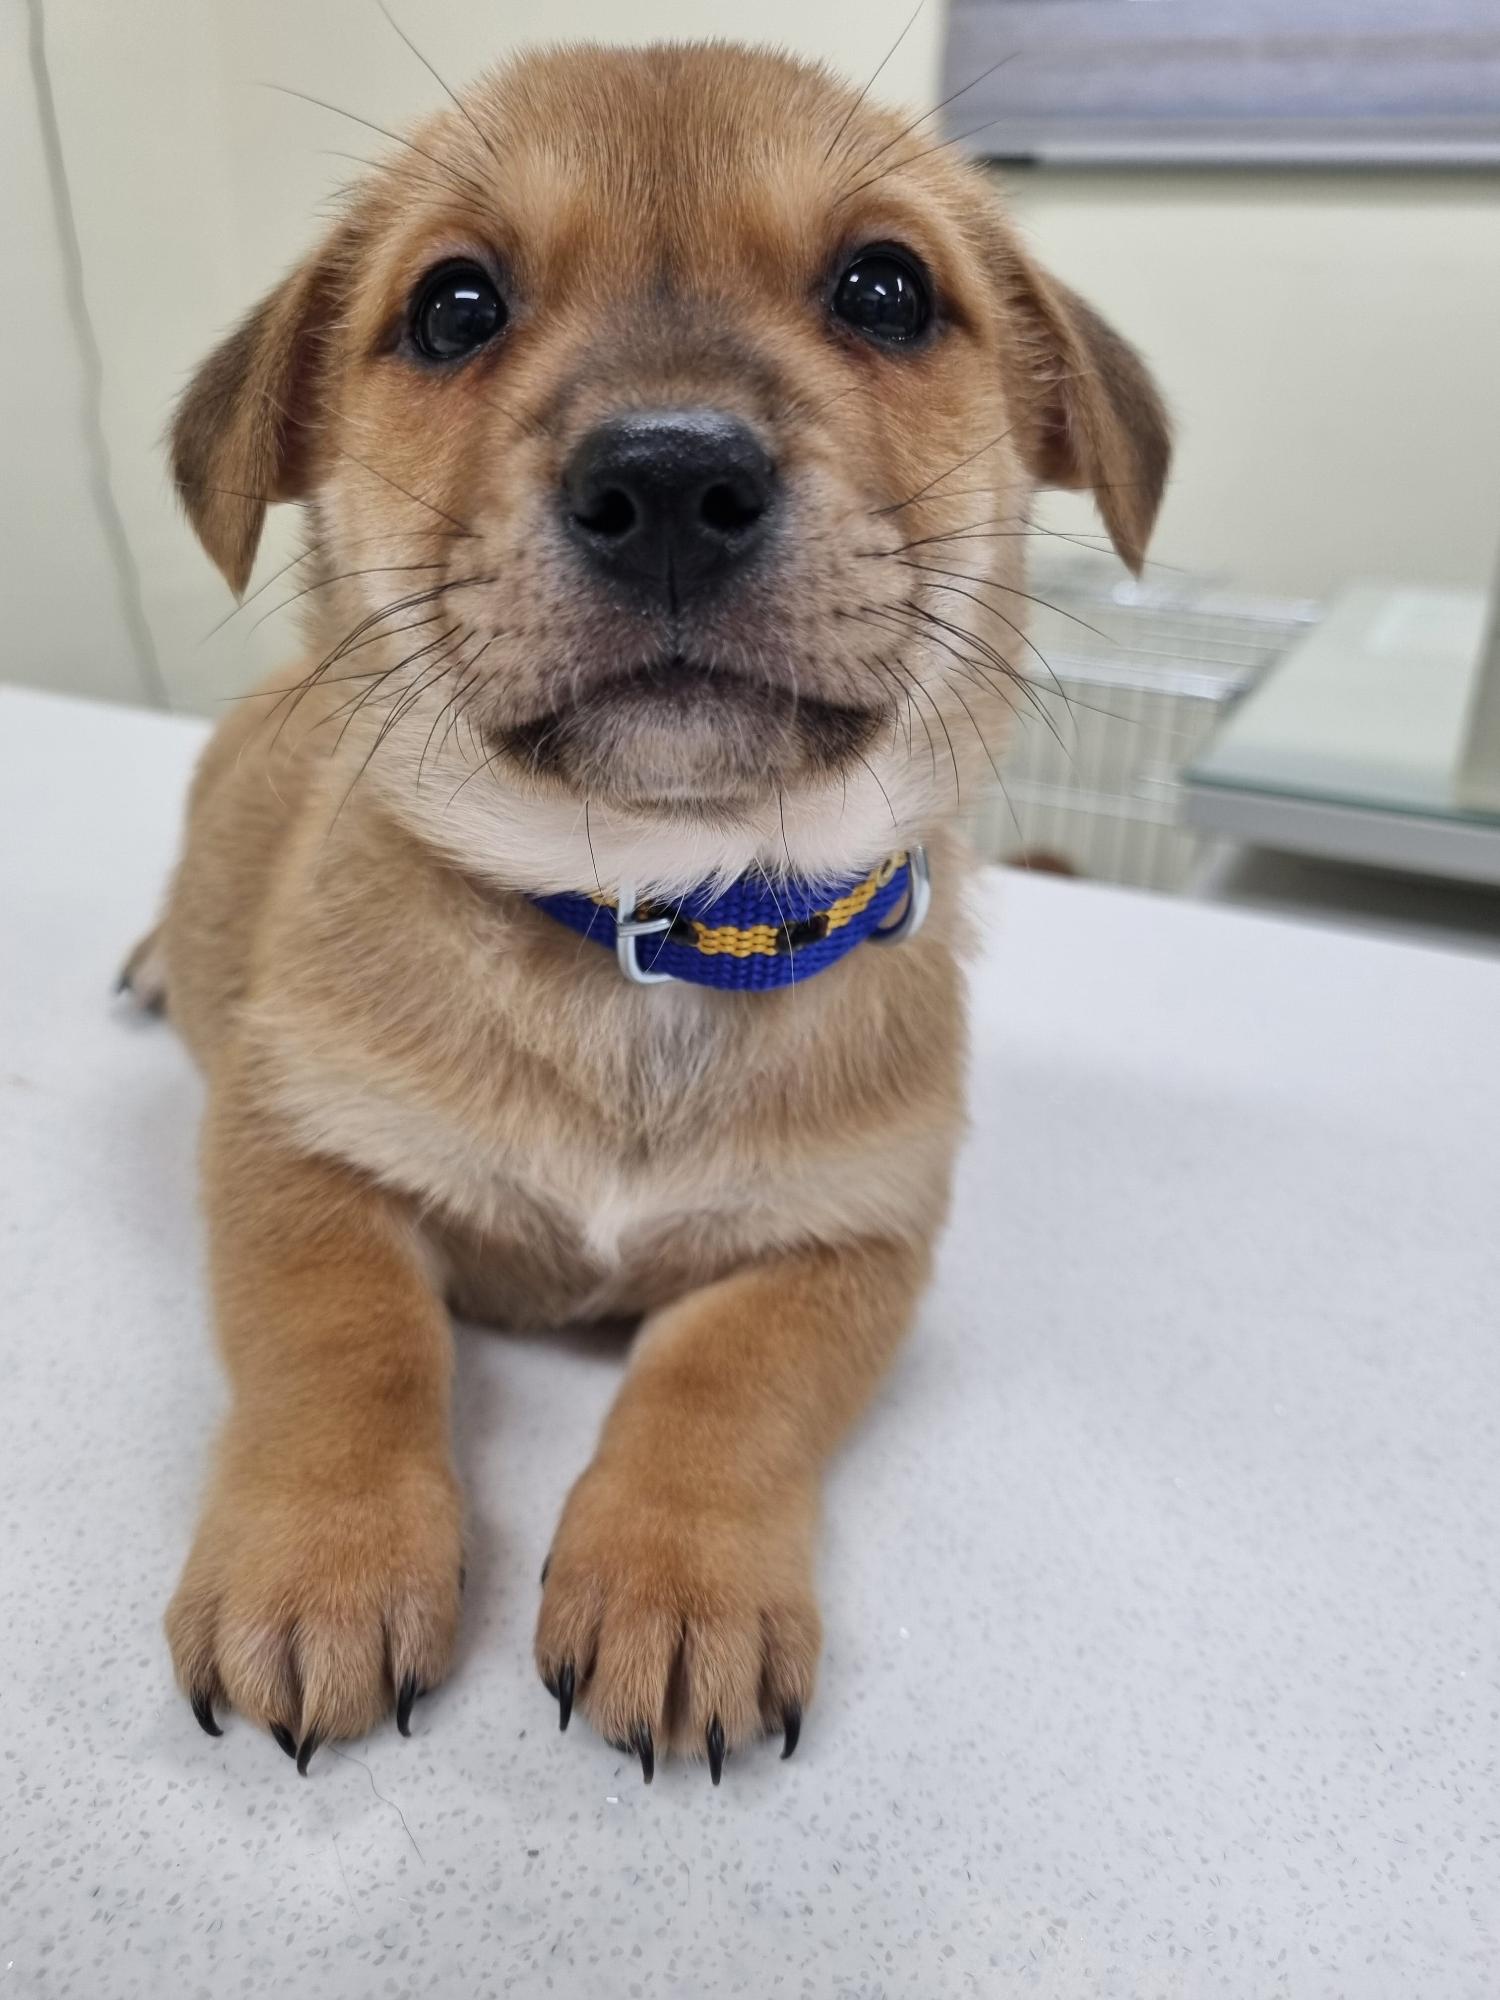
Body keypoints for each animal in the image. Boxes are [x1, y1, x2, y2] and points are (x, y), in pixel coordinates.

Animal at [128, 40, 1168, 1782]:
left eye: (886, 288)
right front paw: (320, 1563)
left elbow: (725, 1392)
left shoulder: (850, 1238)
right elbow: (344, 1344)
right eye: (453, 307)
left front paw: (677, 1592)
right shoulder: (294, 1149)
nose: (672, 477)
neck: (657, 917)